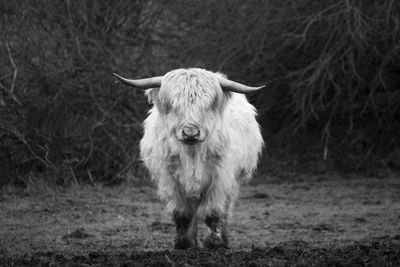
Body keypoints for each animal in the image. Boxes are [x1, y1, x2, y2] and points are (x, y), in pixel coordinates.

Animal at [113, 68, 262, 250]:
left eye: (207, 105)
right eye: (173, 104)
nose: (190, 133)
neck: (192, 154)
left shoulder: (220, 178)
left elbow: (213, 213)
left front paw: (213, 243)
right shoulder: (170, 179)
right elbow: (182, 214)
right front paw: (183, 243)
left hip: (235, 181)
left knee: (225, 210)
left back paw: (224, 241)